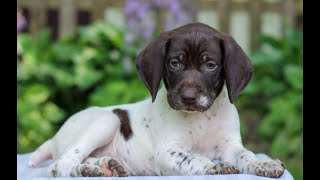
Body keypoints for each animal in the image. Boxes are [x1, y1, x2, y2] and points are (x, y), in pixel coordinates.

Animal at [28, 22, 286, 177]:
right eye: (174, 63)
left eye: (210, 65)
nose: (188, 98)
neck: (201, 119)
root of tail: (54, 138)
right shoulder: (167, 153)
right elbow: (192, 158)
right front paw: (214, 166)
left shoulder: (230, 146)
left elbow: (246, 155)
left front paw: (265, 164)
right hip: (106, 121)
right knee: (61, 165)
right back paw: (85, 170)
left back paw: (106, 166)